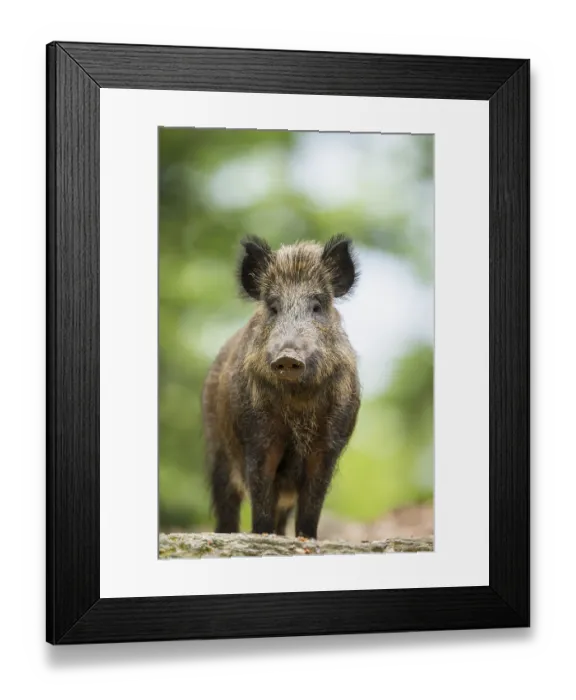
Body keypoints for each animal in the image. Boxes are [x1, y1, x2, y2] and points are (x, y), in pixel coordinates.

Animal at [201, 234, 361, 540]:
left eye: (317, 306)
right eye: (274, 307)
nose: (288, 356)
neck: (298, 404)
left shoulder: (329, 444)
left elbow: (312, 505)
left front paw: (306, 539)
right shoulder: (257, 438)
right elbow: (261, 499)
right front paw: (261, 536)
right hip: (217, 449)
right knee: (227, 508)